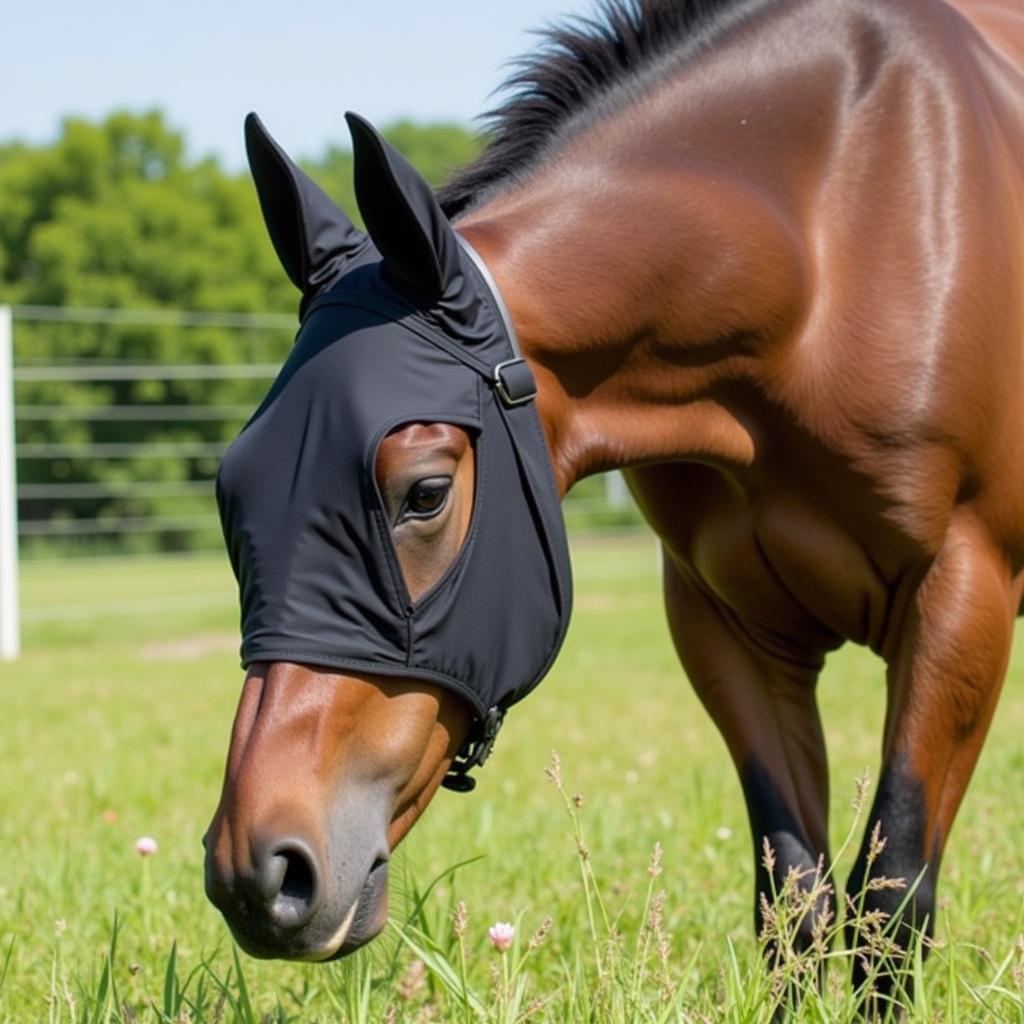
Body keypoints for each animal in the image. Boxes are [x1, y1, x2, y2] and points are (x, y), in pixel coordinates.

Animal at [201, 0, 1024, 999]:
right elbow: (794, 897)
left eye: (425, 492)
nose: (258, 873)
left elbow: (891, 897)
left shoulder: (964, 594)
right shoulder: (728, 628)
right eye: (233, 493)